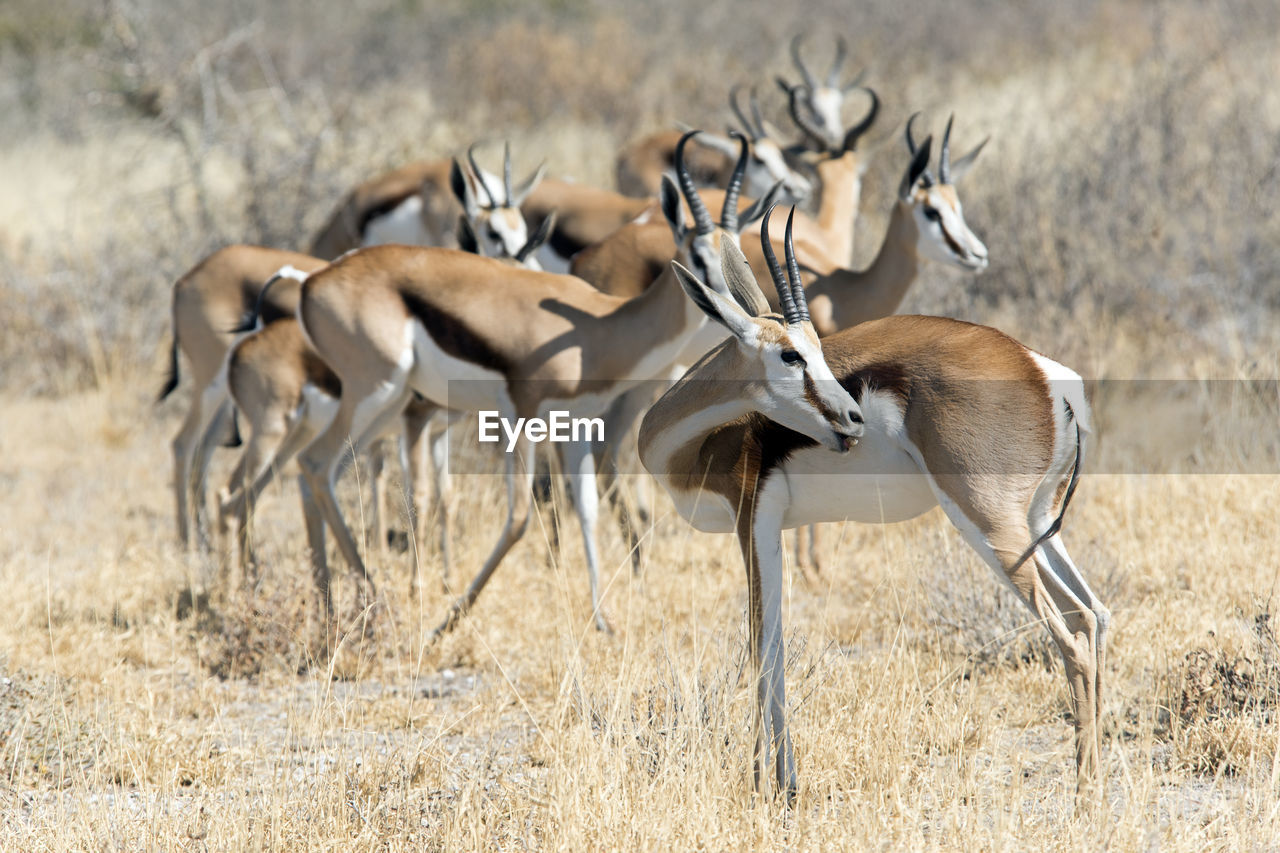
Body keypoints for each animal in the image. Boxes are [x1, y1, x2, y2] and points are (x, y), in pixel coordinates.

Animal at [290, 129, 768, 630]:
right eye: (697, 253)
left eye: (738, 252)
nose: (732, 307)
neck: (597, 326)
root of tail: (313, 281)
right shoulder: (523, 418)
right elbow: (519, 516)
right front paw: (448, 622)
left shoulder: (573, 425)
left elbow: (587, 509)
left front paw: (602, 619)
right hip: (377, 393)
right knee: (316, 464)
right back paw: (373, 603)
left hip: (387, 406)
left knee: (316, 474)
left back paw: (331, 607)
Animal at [640, 204, 1111, 799]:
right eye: (792, 353)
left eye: (819, 349)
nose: (852, 418)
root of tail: (1045, 373)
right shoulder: (772, 529)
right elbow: (777, 647)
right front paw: (786, 785)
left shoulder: (753, 520)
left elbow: (762, 649)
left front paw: (764, 789)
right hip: (1037, 524)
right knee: (1092, 614)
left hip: (989, 525)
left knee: (1069, 636)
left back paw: (1083, 796)